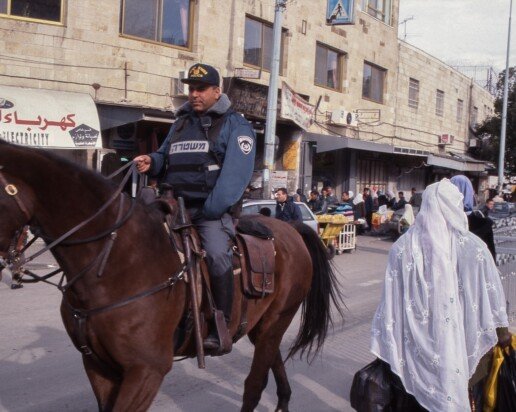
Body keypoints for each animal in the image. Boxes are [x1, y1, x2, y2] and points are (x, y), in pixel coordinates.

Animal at [0, 140, 342, 410]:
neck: (114, 261)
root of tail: (292, 229)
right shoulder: (97, 364)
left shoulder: (147, 370)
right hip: (260, 327)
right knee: (272, 359)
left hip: (276, 321)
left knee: (254, 385)